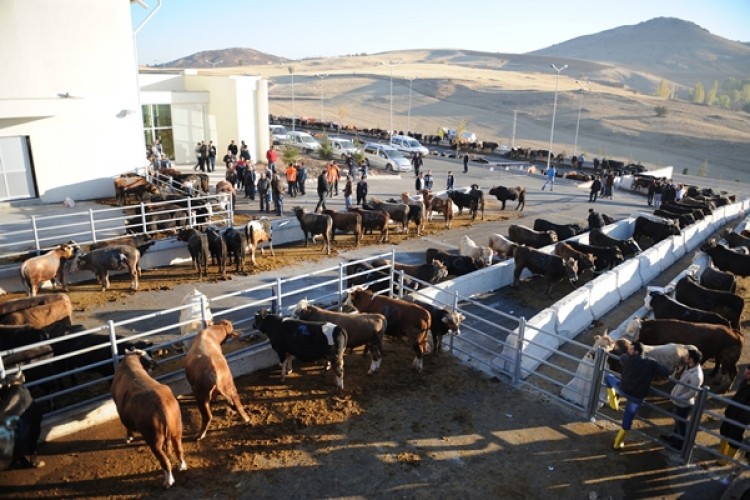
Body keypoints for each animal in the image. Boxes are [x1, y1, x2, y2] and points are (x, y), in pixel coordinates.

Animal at [112, 350, 187, 486]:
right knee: (179, 449)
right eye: (147, 358)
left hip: (155, 441)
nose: (154, 364)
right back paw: (182, 466)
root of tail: (160, 402)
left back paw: (168, 481)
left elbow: (126, 426)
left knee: (165, 460)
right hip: (177, 429)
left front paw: (129, 437)